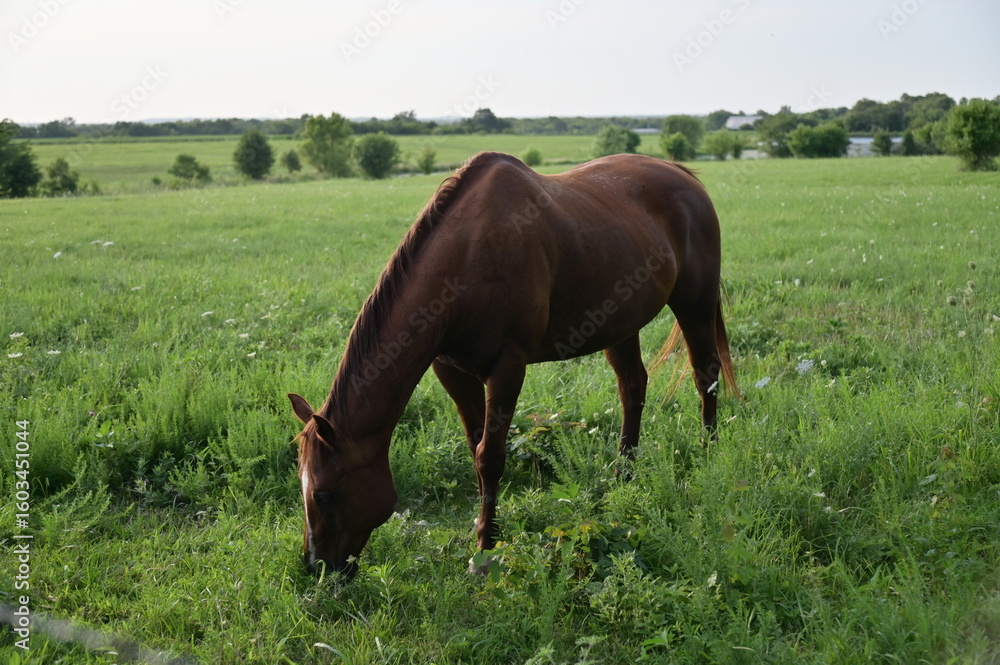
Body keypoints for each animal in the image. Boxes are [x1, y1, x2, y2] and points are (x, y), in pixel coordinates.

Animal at [289, 151, 739, 576]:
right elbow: (475, 448)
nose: (316, 567)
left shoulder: (508, 367)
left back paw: (708, 454)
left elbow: (490, 457)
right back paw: (622, 477)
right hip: (621, 321)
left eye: (324, 494)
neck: (467, 258)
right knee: (633, 387)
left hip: (695, 304)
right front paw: (482, 530)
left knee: (705, 375)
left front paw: (485, 552)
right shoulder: (450, 369)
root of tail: (681, 174)